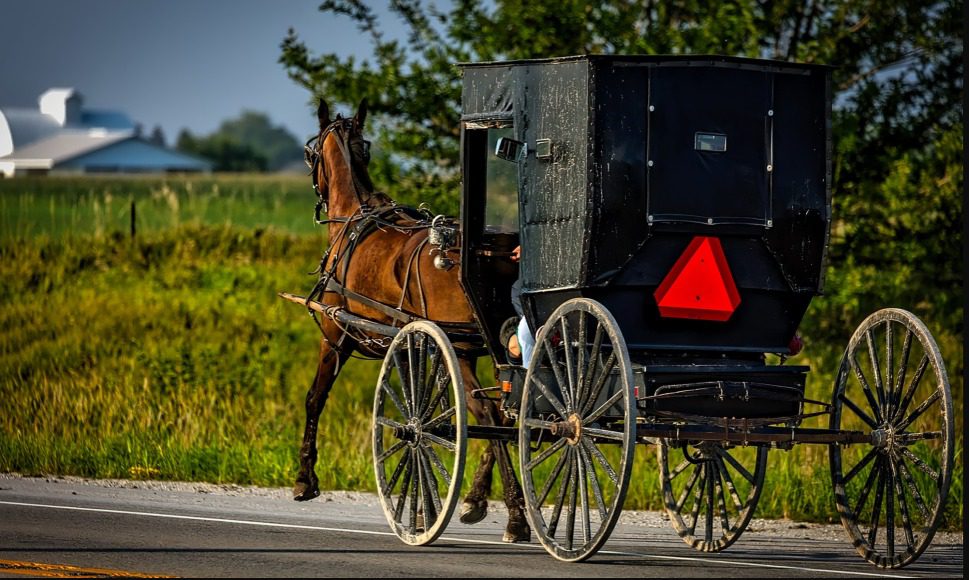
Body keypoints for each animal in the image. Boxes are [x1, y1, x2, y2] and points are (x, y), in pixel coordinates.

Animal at [294, 96, 528, 544]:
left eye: (310, 154)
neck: (354, 217)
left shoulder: (335, 336)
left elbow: (315, 398)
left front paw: (304, 478)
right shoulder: (413, 347)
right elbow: (428, 417)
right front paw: (424, 508)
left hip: (462, 349)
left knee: (489, 414)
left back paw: (515, 515)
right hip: (487, 349)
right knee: (508, 412)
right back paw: (479, 501)